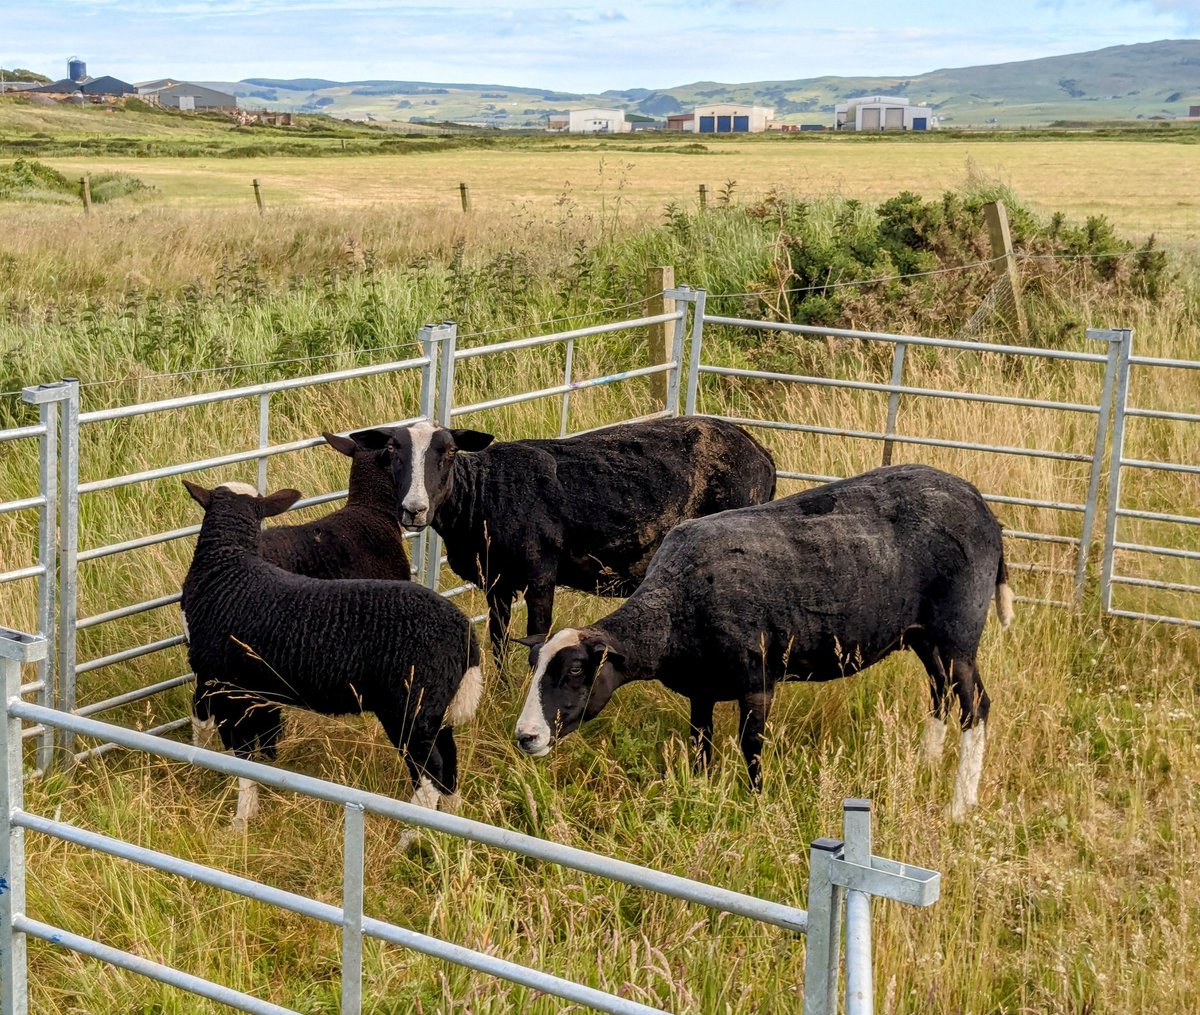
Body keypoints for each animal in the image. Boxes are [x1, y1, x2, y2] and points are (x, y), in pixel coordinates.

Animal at [180, 480, 482, 829]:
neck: (228, 566)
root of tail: (464, 634)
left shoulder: (223, 685)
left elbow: (231, 747)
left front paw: (238, 816)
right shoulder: (259, 693)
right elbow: (262, 742)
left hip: (411, 709)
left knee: (430, 773)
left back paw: (411, 833)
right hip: (435, 710)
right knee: (449, 762)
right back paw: (452, 826)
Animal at [349, 416, 776, 657]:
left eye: (451, 452)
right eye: (391, 451)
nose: (414, 509)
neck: (485, 493)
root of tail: (761, 451)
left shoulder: (540, 574)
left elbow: (536, 638)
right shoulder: (496, 583)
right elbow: (499, 641)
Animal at [514, 463, 1013, 822]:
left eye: (575, 670)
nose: (525, 737)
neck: (675, 608)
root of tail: (981, 505)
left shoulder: (758, 683)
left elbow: (750, 747)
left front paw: (755, 803)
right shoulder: (701, 689)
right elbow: (700, 744)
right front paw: (701, 794)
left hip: (958, 631)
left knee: (976, 706)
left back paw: (958, 807)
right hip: (925, 636)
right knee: (941, 693)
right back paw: (926, 764)